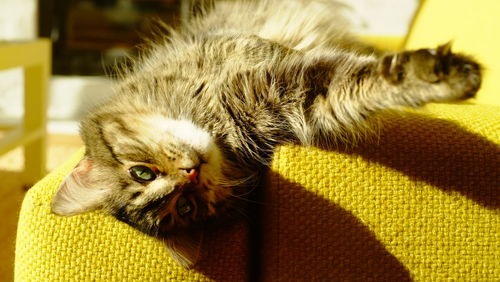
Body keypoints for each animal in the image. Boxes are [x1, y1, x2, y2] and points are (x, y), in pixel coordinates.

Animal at [49, 0, 480, 266]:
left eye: (141, 172)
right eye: (186, 208)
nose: (191, 172)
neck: (217, 119)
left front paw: (449, 75)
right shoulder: (295, 98)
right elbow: (353, 85)